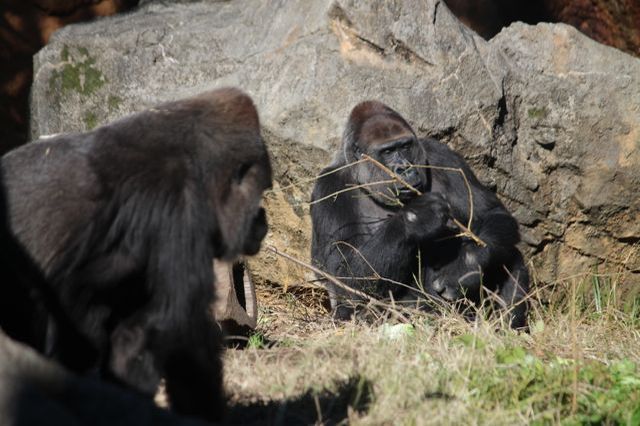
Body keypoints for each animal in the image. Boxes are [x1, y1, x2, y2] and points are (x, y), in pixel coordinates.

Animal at [312, 101, 528, 328]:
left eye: (405, 146)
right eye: (387, 151)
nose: (404, 168)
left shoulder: (443, 155)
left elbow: (492, 213)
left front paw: (465, 266)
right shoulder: (328, 187)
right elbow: (344, 279)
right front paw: (417, 218)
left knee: (508, 253)